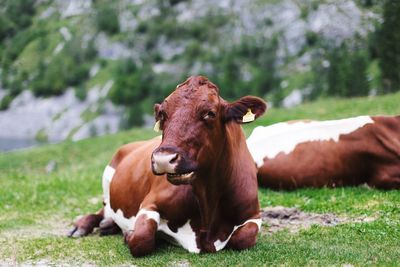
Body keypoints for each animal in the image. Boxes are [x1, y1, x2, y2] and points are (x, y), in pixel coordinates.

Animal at [69, 76, 266, 258]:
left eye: (210, 113)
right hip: (107, 181)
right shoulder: (150, 203)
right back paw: (83, 226)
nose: (163, 159)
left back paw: (108, 226)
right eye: (162, 114)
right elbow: (141, 238)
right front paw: (130, 235)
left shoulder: (253, 214)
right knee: (104, 208)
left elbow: (243, 238)